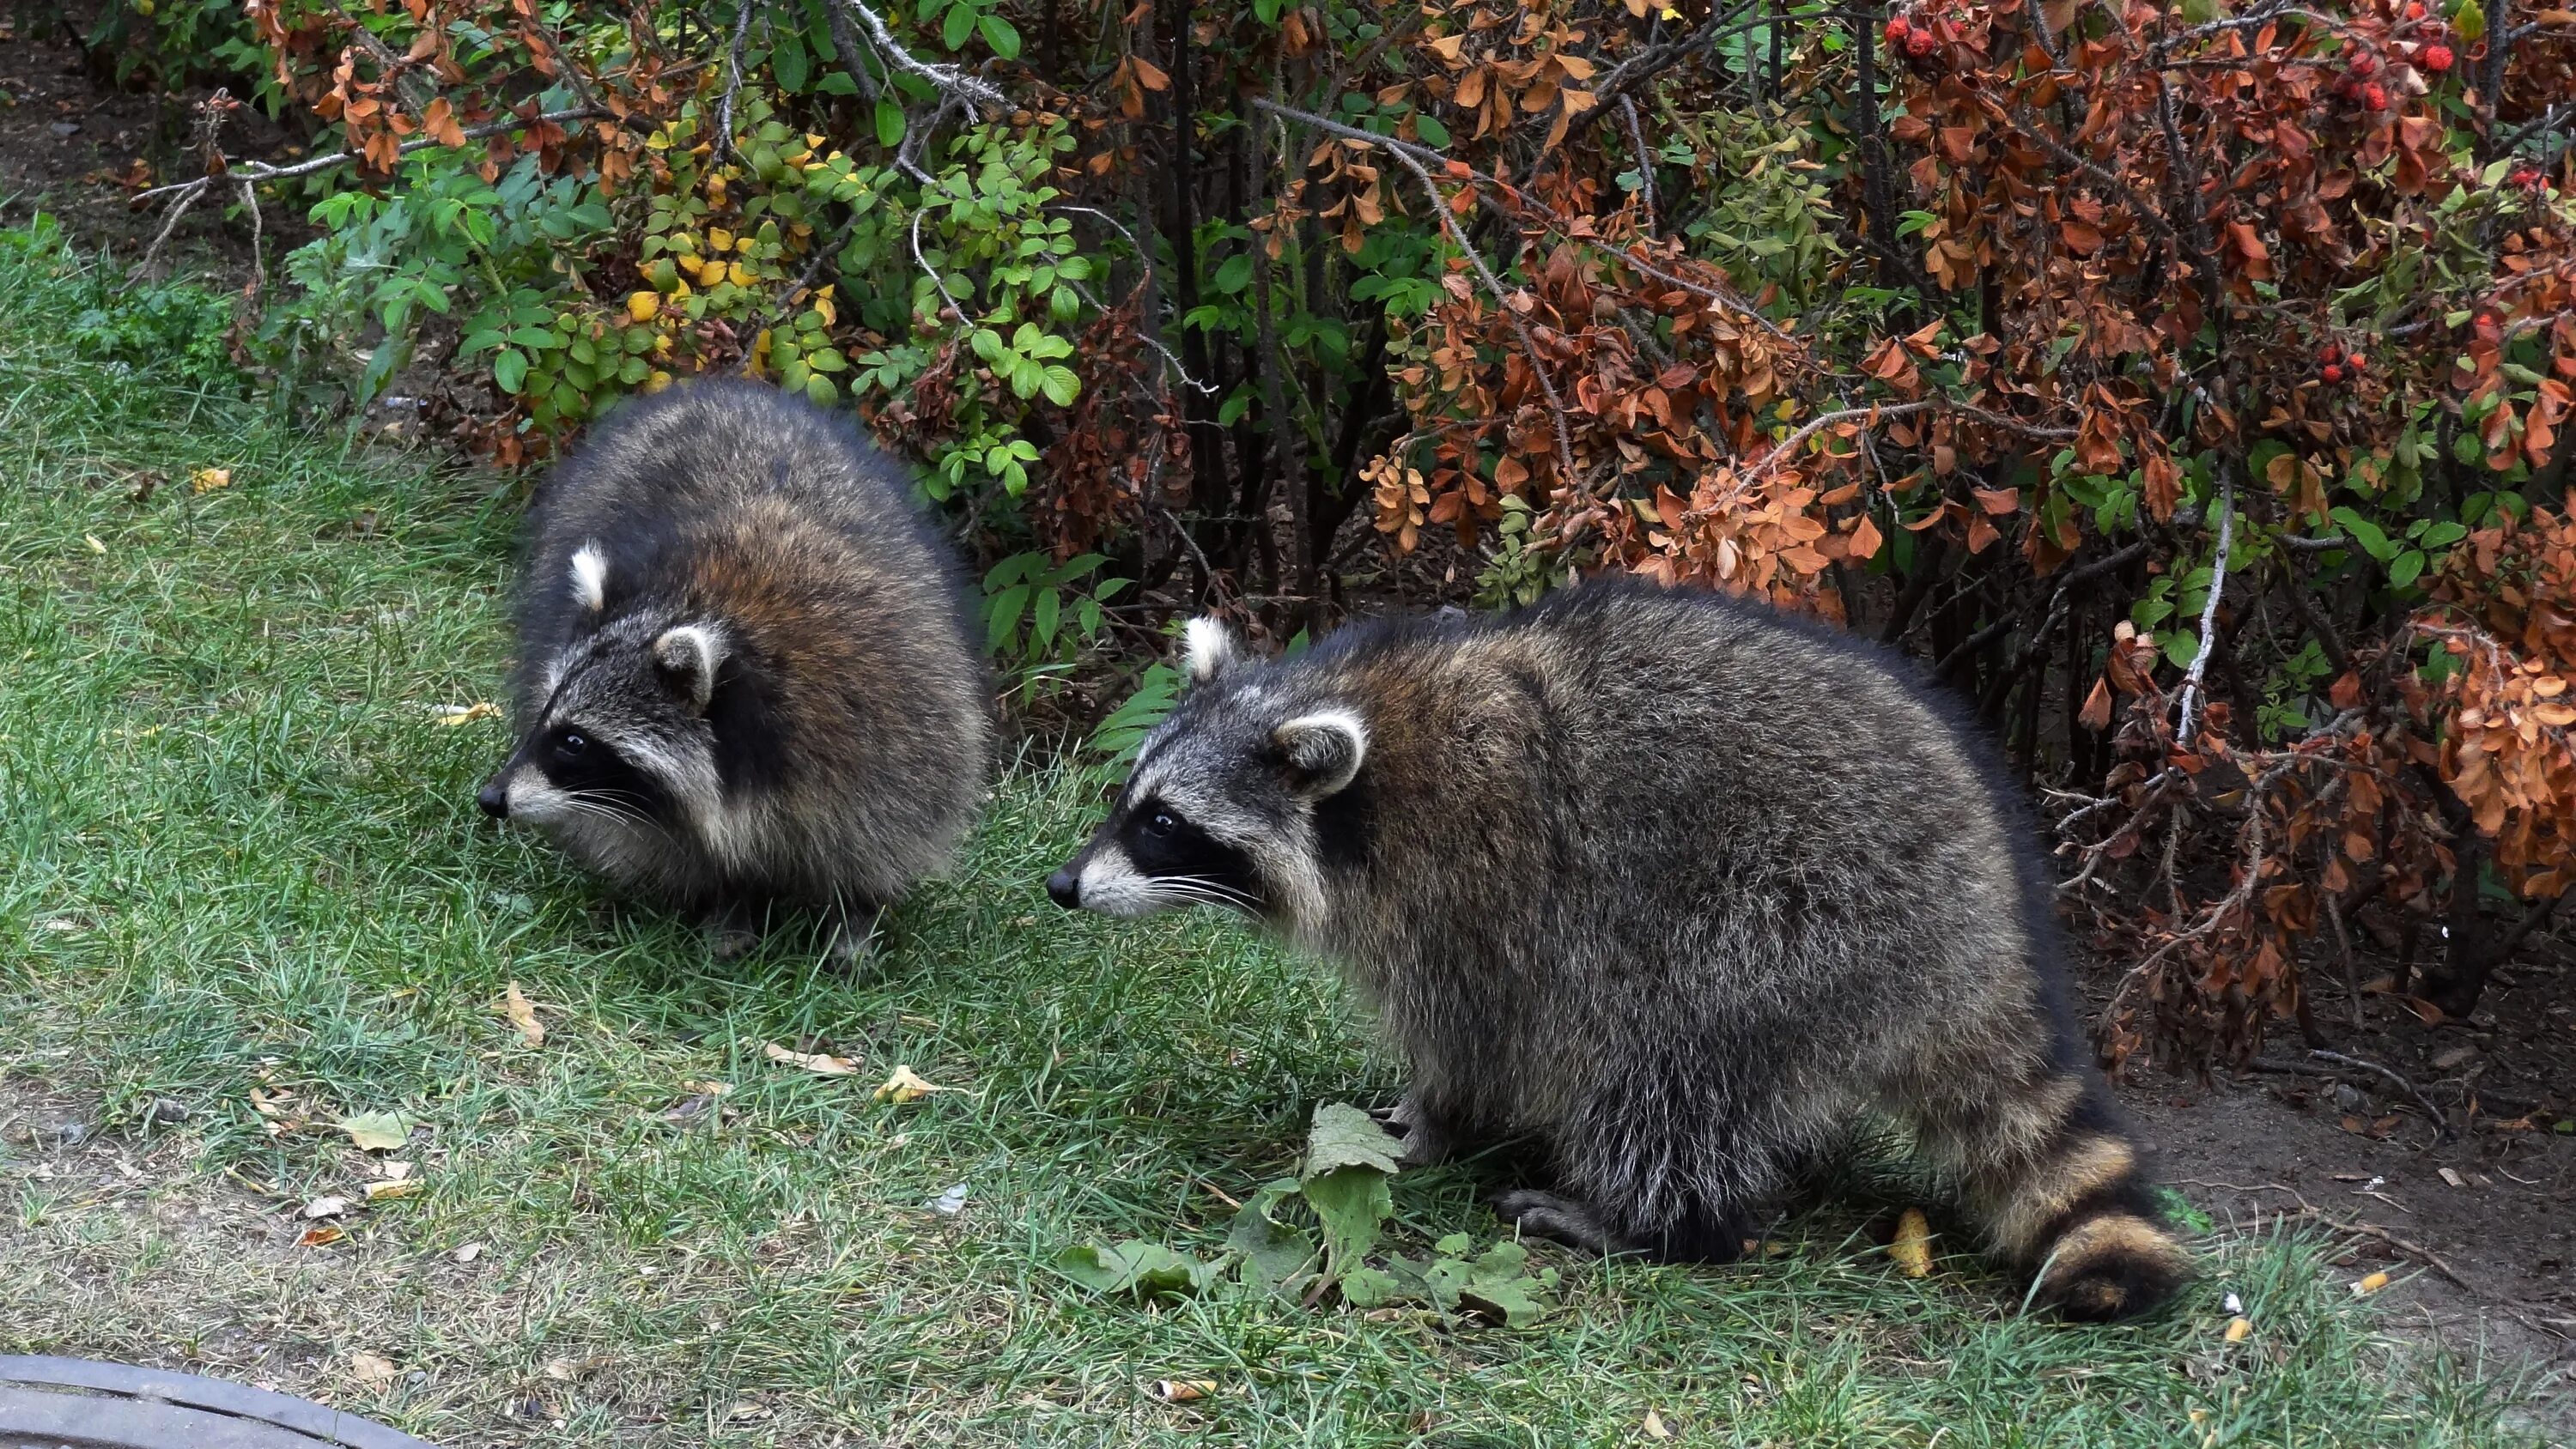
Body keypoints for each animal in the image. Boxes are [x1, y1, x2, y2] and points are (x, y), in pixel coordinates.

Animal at [479, 380, 989, 962]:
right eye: (552, 720)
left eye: (574, 742)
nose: (491, 798)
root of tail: (721, 389)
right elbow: (684, 848)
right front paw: (728, 901)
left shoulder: (894, 721)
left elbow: (883, 828)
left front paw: (856, 914)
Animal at [1046, 581, 2195, 1328]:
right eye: (1131, 799)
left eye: (1164, 825)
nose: (1061, 884)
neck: (1369, 758)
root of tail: (1988, 914)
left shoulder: (1475, 895)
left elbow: (1476, 1031)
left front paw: (1430, 1122)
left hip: (1798, 915)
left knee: (1668, 1067)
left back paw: (1648, 1220)